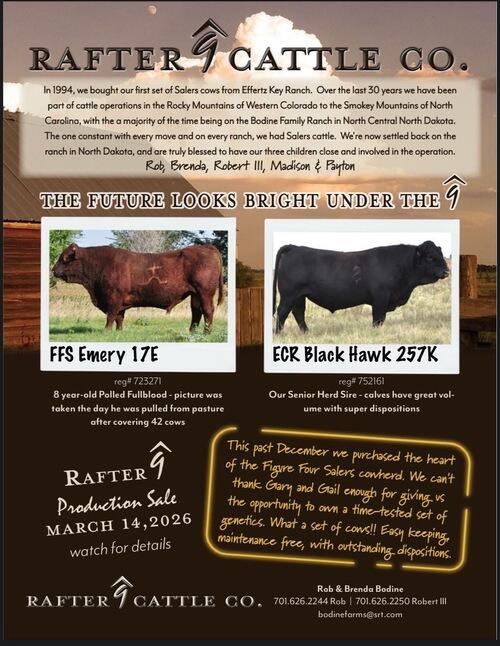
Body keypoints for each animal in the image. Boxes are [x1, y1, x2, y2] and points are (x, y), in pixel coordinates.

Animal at [52, 243, 224, 333]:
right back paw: (191, 332)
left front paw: (106, 331)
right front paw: (119, 331)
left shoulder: (113, 299)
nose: (53, 270)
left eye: (65, 258)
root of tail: (206, 247)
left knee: (208, 311)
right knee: (197, 312)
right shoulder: (120, 302)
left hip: (205, 292)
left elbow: (111, 316)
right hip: (195, 294)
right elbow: (119, 318)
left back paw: (206, 333)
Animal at [273, 241, 449, 333]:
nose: (446, 271)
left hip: (299, 296)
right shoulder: (381, 298)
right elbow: (378, 318)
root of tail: (295, 247)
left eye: (441, 255)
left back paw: (306, 333)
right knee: (282, 312)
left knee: (298, 313)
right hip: (289, 295)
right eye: (430, 257)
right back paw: (278, 334)